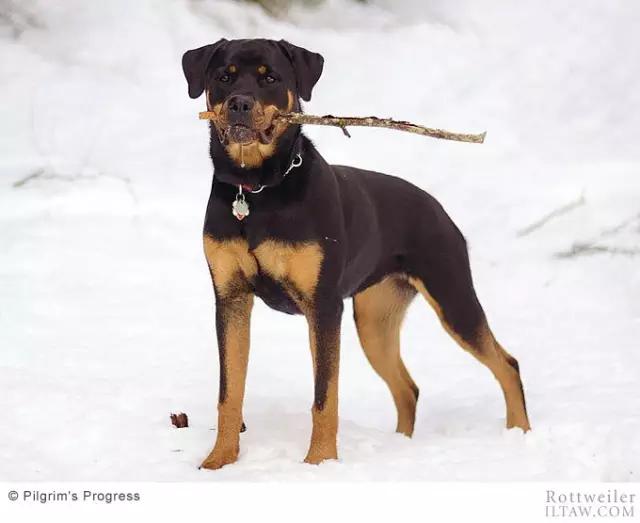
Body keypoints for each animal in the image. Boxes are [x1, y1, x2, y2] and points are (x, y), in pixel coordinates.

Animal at [180, 37, 528, 470]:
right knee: (408, 388)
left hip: (452, 295)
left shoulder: (324, 305)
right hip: (375, 319)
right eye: (223, 77)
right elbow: (230, 391)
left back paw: (521, 435)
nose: (239, 104)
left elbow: (324, 396)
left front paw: (319, 464)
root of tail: (438, 208)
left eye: (270, 78)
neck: (257, 191)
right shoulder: (231, 297)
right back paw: (401, 447)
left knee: (507, 364)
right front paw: (218, 462)